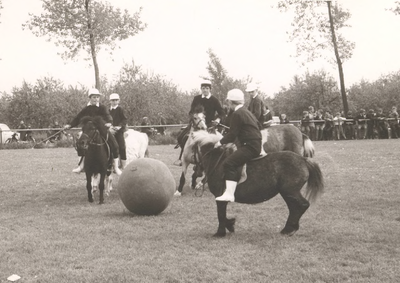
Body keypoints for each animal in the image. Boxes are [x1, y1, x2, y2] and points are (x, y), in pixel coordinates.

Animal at [191, 132, 324, 239]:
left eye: (192, 149)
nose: (196, 172)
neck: (218, 162)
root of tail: (303, 160)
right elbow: (223, 215)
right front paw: (230, 224)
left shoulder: (220, 196)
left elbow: (220, 214)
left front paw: (220, 233)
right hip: (288, 193)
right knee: (294, 208)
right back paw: (288, 229)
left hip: (290, 191)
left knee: (302, 205)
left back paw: (289, 229)